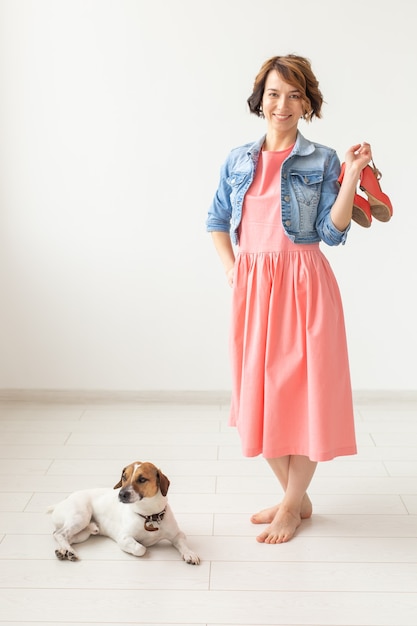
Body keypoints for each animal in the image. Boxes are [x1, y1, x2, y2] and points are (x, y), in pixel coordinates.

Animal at [47, 458, 200, 564]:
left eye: (142, 479)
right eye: (124, 477)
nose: (121, 494)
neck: (149, 515)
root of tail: (62, 502)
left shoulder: (177, 535)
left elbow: (182, 543)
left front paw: (190, 553)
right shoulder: (124, 538)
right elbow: (140, 548)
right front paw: (142, 547)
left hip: (82, 533)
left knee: (64, 536)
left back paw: (65, 549)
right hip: (80, 517)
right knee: (60, 534)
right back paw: (69, 551)